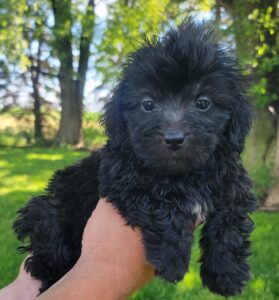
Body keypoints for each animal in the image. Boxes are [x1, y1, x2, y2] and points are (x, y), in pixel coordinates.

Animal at [14, 19, 258, 296]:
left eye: (203, 103)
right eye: (147, 104)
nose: (174, 139)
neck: (185, 175)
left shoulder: (232, 184)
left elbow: (230, 223)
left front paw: (226, 275)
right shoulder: (124, 179)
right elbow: (162, 205)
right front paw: (172, 260)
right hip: (51, 211)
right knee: (48, 247)